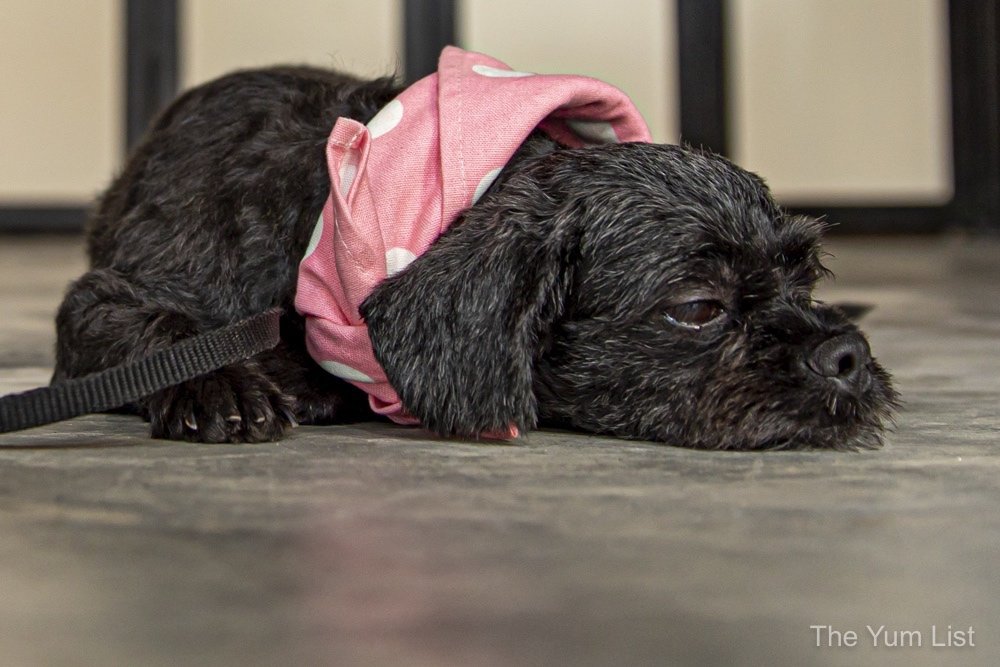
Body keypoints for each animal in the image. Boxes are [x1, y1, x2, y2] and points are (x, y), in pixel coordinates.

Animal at [52, 51, 900, 448]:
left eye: (805, 278)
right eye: (698, 307)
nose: (849, 354)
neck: (330, 204)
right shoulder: (111, 297)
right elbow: (151, 321)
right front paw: (215, 380)